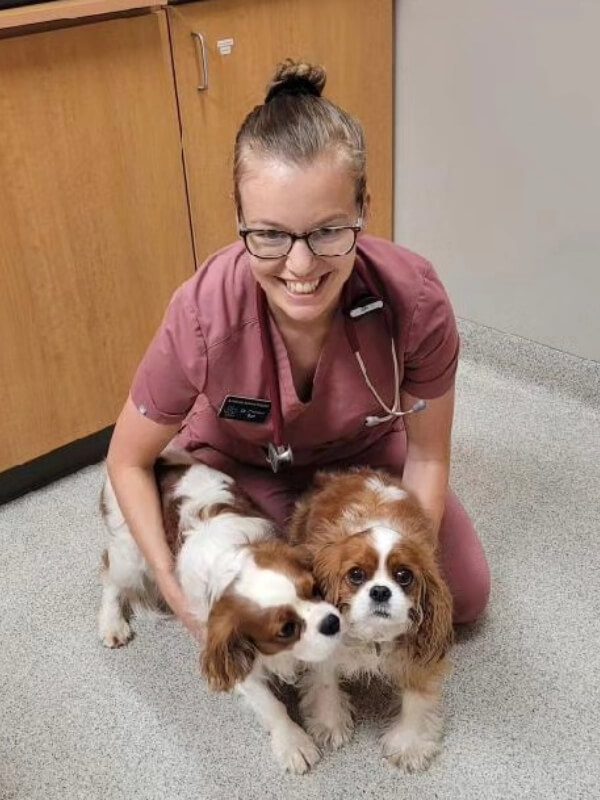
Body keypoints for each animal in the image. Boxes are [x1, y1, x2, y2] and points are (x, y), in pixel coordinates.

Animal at [98, 456, 342, 776]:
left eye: (313, 589)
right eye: (286, 629)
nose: (333, 622)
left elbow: (324, 677)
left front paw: (328, 716)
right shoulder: (231, 652)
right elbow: (271, 705)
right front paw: (293, 742)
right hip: (130, 554)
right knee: (110, 578)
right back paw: (111, 623)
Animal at [288, 466, 452, 772]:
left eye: (404, 576)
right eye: (356, 575)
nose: (380, 591)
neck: (372, 636)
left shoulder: (418, 652)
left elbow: (416, 697)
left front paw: (409, 744)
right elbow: (324, 678)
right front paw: (330, 721)